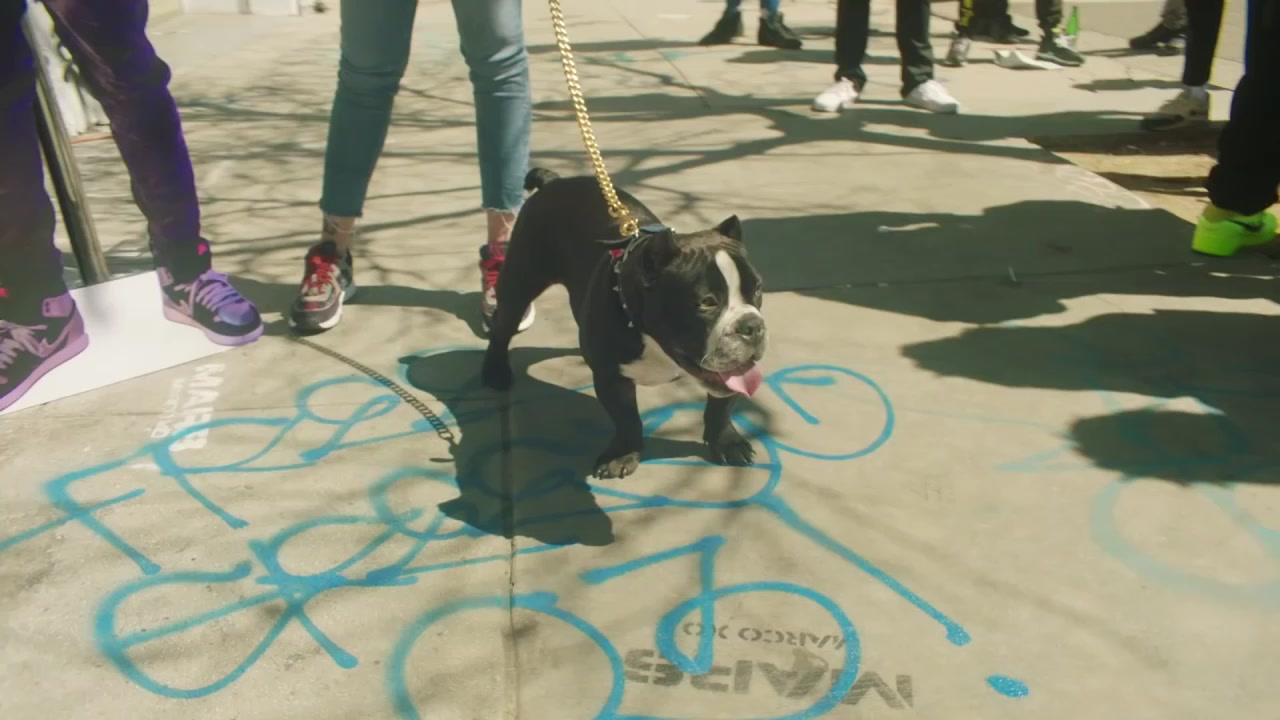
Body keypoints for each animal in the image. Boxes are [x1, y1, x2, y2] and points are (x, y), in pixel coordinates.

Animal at [481, 168, 767, 479]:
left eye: (757, 289)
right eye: (706, 302)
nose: (753, 325)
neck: (653, 341)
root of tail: (554, 181)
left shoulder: (732, 371)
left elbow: (721, 407)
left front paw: (726, 441)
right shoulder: (611, 378)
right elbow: (627, 418)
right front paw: (623, 455)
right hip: (520, 283)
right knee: (502, 328)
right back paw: (495, 371)